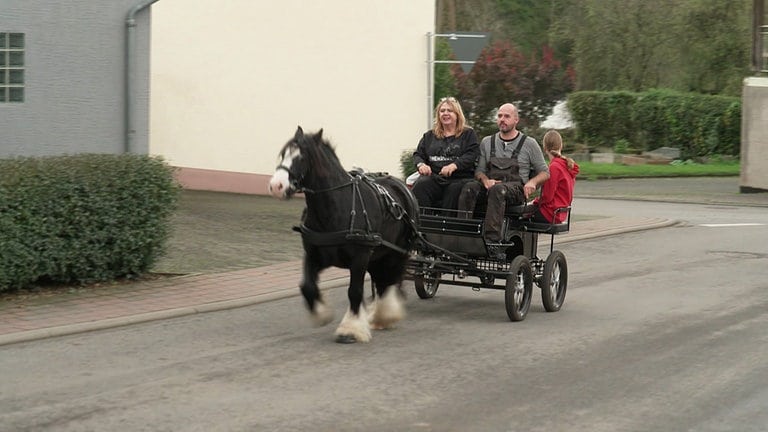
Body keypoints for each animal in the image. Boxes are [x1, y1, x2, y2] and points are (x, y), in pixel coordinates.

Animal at [268, 125, 416, 344]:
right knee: (381, 281)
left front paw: (350, 329)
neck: (337, 205)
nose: (276, 186)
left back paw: (386, 314)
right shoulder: (314, 255)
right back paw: (380, 316)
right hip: (378, 255)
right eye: (283, 154)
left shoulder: (360, 257)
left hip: (396, 252)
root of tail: (400, 185)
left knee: (391, 280)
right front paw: (322, 314)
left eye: (302, 157)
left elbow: (354, 291)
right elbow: (307, 286)